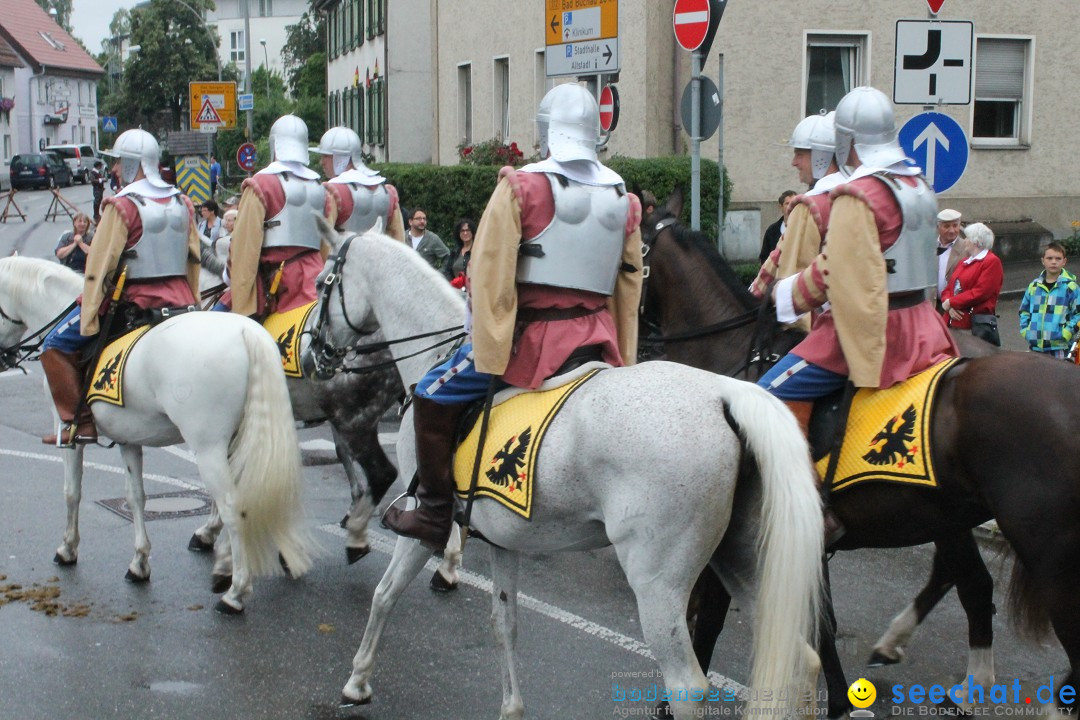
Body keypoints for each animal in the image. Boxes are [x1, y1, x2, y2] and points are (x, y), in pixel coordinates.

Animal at [0, 255, 315, 613]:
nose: (4, 357)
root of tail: (246, 331)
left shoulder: (67, 433)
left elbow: (72, 492)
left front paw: (67, 548)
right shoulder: (129, 439)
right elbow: (136, 496)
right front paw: (139, 563)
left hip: (208, 448)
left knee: (234, 506)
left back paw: (235, 591)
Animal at [313, 227, 825, 720]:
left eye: (321, 283)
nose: (316, 350)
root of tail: (724, 395)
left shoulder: (422, 526)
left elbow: (385, 593)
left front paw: (357, 682)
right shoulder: (502, 540)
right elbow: (504, 624)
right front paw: (511, 708)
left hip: (658, 583)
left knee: (687, 688)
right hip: (744, 560)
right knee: (802, 660)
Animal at [635, 193, 1075, 720]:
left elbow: (712, 624)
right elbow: (821, 626)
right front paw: (843, 701)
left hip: (1045, 554)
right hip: (953, 518)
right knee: (969, 583)